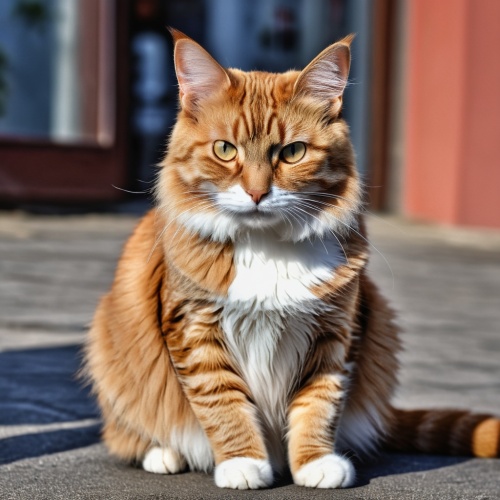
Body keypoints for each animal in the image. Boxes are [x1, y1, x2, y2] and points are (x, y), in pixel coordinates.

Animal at [83, 30, 500, 488]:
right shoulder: (194, 330)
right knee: (130, 433)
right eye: (225, 150)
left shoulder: (335, 334)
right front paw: (243, 462)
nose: (256, 192)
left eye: (293, 152)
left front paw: (314, 462)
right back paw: (164, 453)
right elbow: (223, 404)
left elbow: (319, 404)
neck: (267, 245)